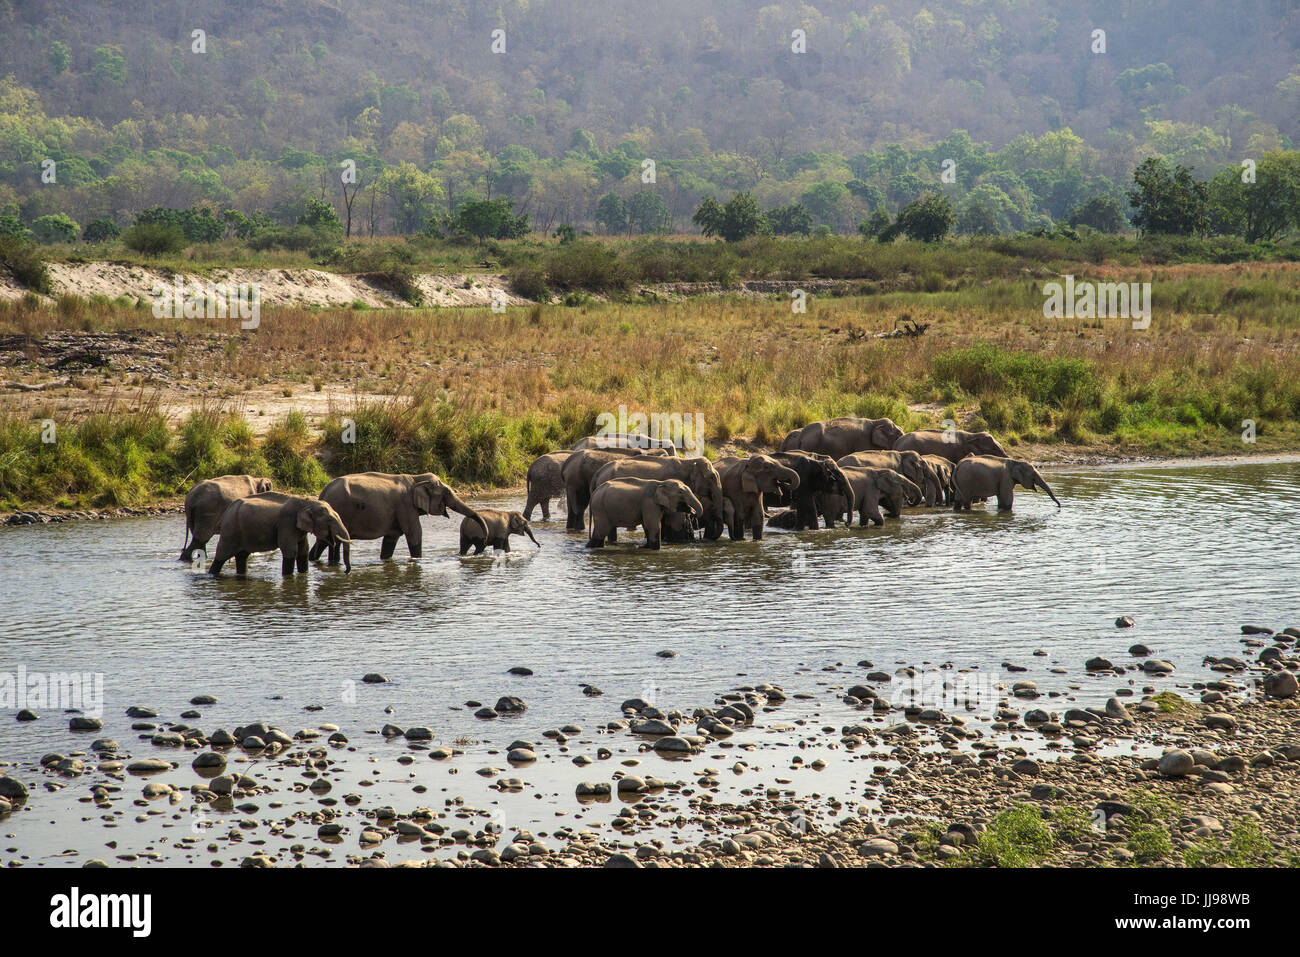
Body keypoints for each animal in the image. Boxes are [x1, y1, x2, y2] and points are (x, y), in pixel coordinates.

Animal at [209, 494, 353, 574]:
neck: (306, 501)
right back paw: (213, 575)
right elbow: (290, 550)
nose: (345, 571)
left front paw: (303, 573)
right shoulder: (287, 523)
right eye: (330, 519)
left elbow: (303, 551)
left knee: (242, 556)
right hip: (230, 531)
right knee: (221, 556)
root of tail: (227, 511)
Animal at [308, 473, 488, 564]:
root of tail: (323, 492)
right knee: (327, 542)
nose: (484, 538)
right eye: (447, 493)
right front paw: (417, 559)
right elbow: (414, 534)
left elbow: (390, 540)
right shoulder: (405, 506)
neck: (416, 477)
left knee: (325, 542)